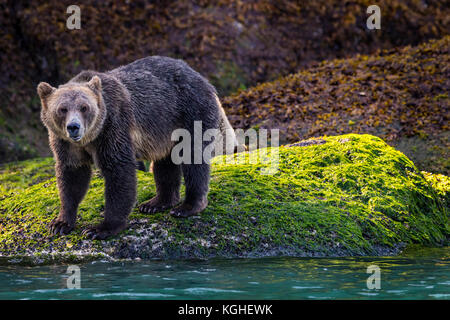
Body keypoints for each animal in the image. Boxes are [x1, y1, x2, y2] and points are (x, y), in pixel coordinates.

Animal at [37, 56, 239, 239]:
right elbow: (72, 176)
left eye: (84, 107)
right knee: (165, 163)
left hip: (190, 111)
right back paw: (156, 203)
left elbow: (119, 172)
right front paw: (60, 223)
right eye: (62, 109)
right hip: (165, 130)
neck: (90, 138)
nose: (74, 127)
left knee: (192, 157)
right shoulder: (65, 143)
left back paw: (188, 206)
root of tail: (203, 79)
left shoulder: (113, 127)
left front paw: (101, 228)